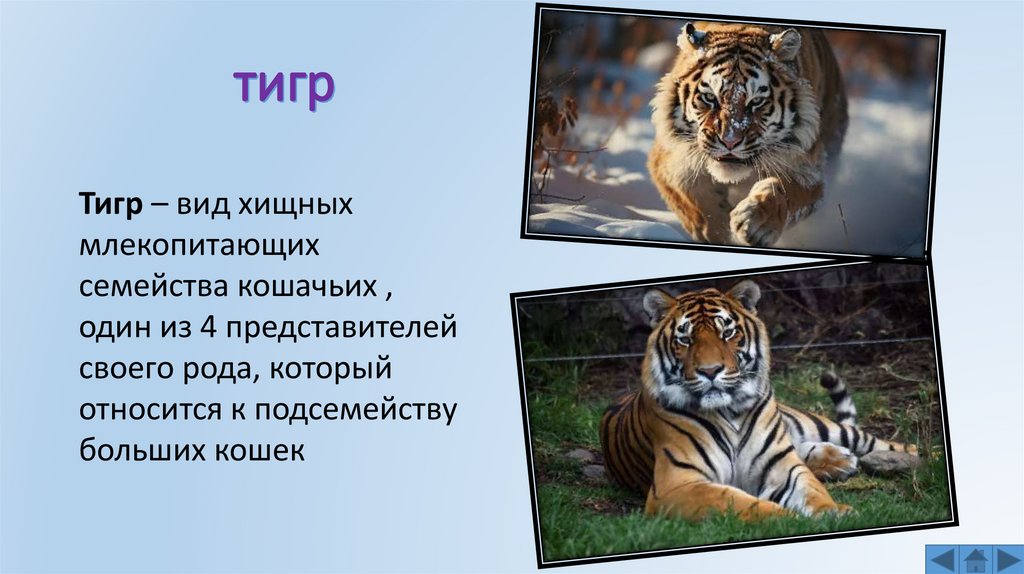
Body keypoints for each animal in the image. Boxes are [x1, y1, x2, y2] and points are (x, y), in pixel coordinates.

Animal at [598, 281, 917, 520]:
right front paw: (792, 520)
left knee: (882, 443)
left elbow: (813, 491)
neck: (729, 410)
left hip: (822, 426)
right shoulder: (677, 485)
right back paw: (840, 461)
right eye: (685, 340)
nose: (710, 371)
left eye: (727, 333)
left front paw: (834, 513)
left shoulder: (783, 467)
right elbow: (740, 502)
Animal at [647, 21, 848, 247]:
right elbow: (696, 202)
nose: (729, 141)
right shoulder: (672, 159)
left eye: (756, 101)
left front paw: (754, 222)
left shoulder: (809, 170)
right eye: (710, 98)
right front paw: (717, 232)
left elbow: (785, 190)